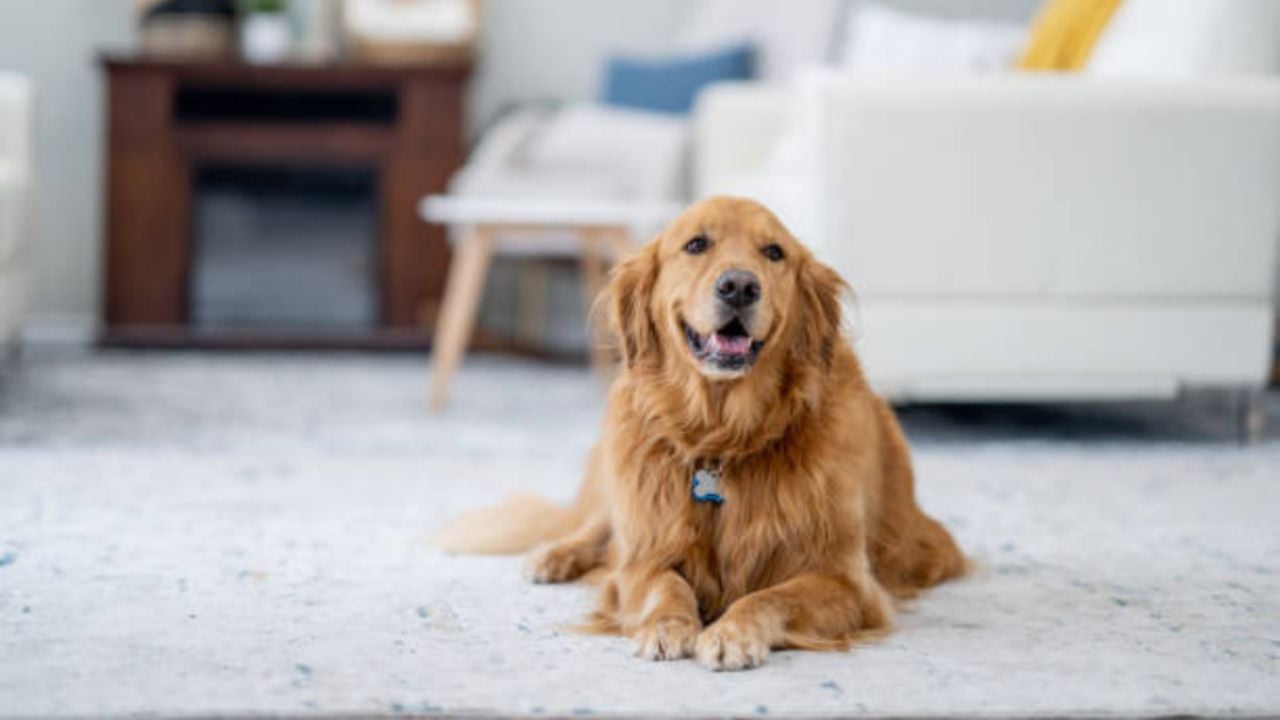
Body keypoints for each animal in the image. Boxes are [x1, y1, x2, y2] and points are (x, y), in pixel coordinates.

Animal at [435, 194, 962, 666]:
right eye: (696, 244)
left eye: (774, 252)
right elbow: (664, 584)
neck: (722, 437)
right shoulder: (644, 556)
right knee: (595, 527)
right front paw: (668, 626)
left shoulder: (843, 579)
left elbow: (770, 596)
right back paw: (552, 557)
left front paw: (732, 633)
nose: (740, 286)